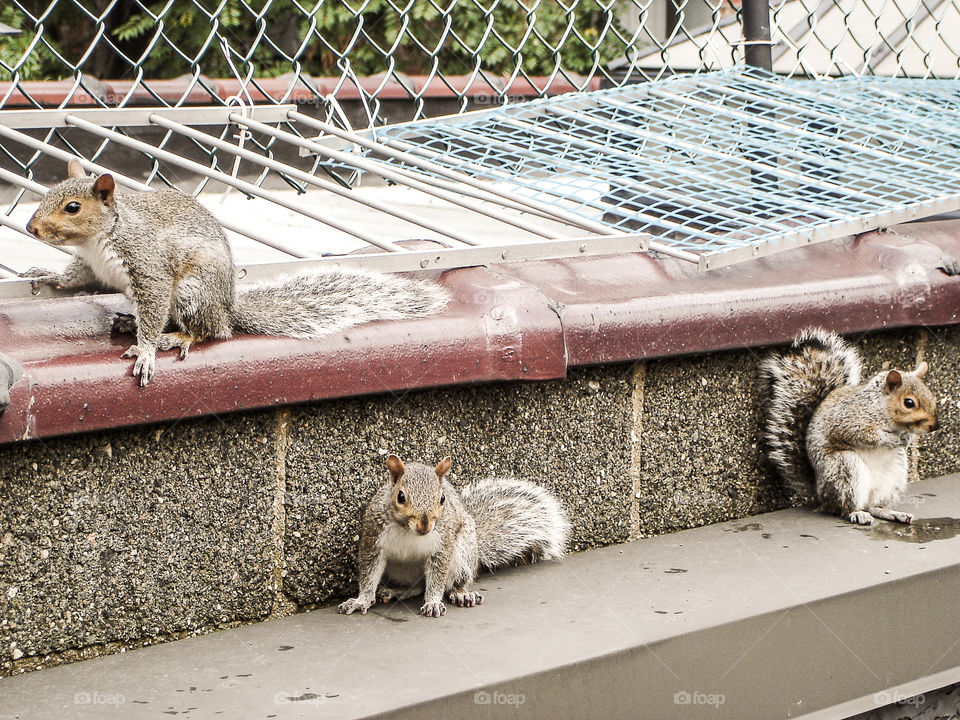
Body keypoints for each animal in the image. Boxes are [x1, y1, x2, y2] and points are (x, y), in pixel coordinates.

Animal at [21, 159, 450, 386]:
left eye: (73, 207)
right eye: (47, 193)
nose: (31, 228)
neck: (98, 240)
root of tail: (228, 307)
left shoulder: (148, 267)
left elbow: (155, 303)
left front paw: (145, 352)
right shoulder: (92, 267)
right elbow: (76, 279)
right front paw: (47, 276)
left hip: (192, 292)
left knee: (212, 332)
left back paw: (176, 337)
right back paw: (130, 321)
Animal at [338, 454, 570, 618]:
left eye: (442, 499)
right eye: (400, 496)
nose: (424, 527)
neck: (408, 530)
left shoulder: (444, 543)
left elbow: (437, 577)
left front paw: (433, 602)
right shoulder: (373, 538)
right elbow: (369, 574)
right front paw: (361, 600)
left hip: (462, 555)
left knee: (448, 583)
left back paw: (461, 594)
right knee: (417, 586)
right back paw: (396, 592)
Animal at [760, 327, 939, 526]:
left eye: (931, 396)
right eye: (909, 403)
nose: (935, 426)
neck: (881, 408)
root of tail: (822, 497)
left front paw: (907, 438)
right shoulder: (850, 420)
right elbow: (862, 435)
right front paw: (891, 439)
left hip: (894, 474)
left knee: (874, 506)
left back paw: (892, 513)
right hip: (845, 469)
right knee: (845, 507)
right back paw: (857, 513)